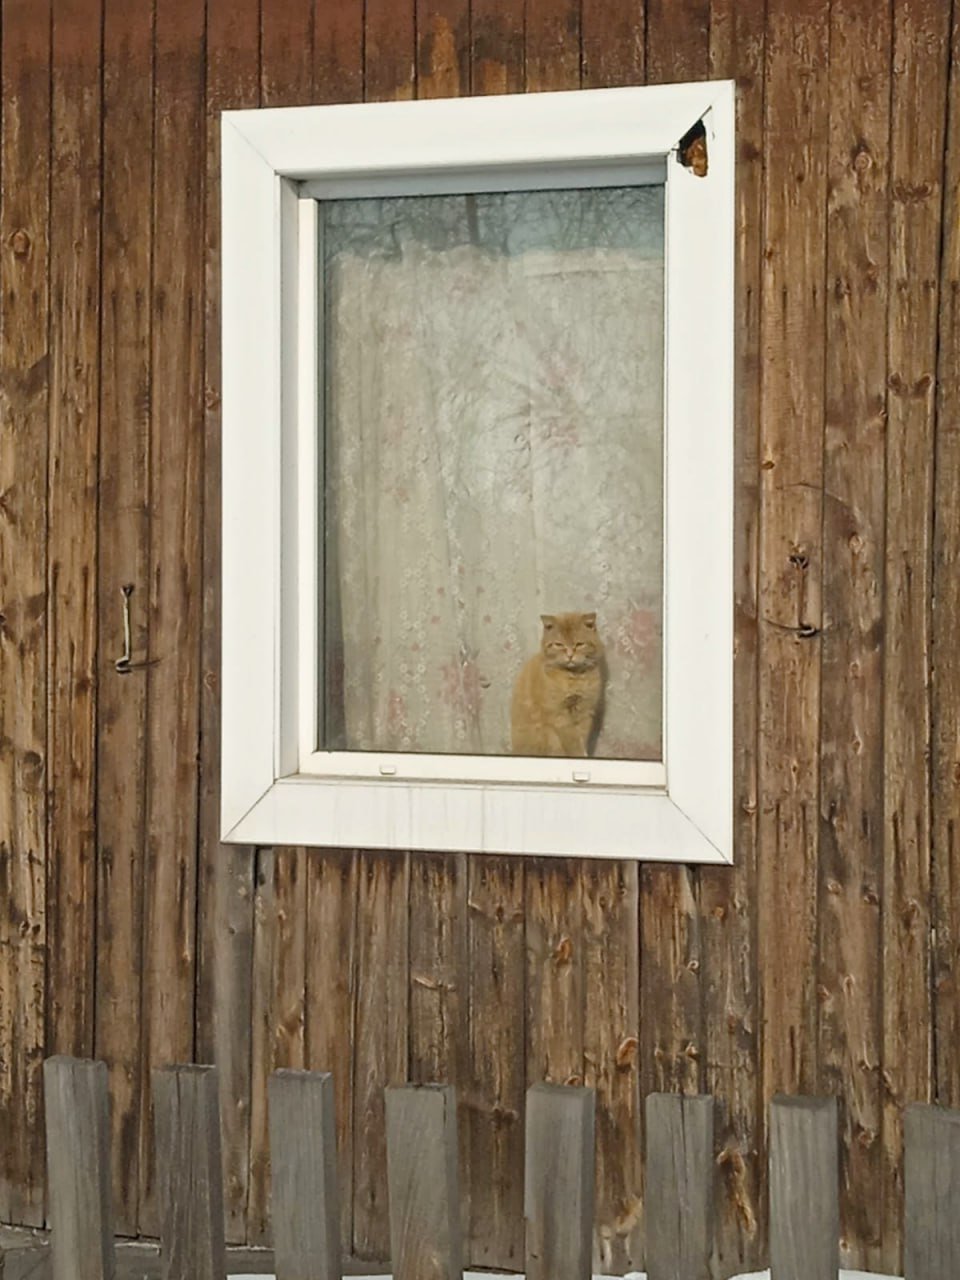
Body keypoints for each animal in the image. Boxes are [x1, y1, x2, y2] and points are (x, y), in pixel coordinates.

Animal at [512, 611, 601, 752]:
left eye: (579, 644)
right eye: (559, 645)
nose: (570, 655)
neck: (573, 676)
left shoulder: (585, 711)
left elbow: (582, 737)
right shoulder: (559, 715)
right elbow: (573, 742)